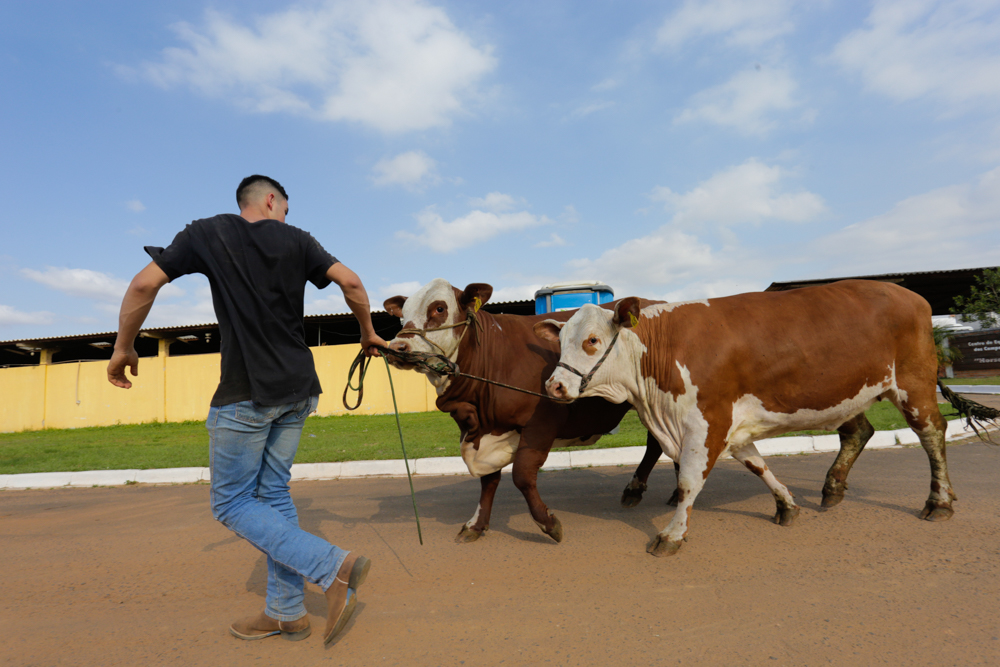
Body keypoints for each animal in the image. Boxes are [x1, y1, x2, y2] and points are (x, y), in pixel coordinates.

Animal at [386, 280, 668, 544]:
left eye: (439, 308)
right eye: (403, 314)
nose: (397, 347)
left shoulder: (541, 423)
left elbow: (521, 475)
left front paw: (548, 523)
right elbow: (489, 480)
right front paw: (476, 525)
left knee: (658, 443)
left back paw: (638, 490)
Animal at [536, 282, 956, 560]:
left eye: (591, 340)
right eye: (561, 343)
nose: (554, 385)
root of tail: (910, 294)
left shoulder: (708, 421)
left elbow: (689, 482)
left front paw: (672, 534)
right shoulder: (731, 427)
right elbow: (757, 464)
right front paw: (786, 505)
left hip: (914, 385)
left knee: (932, 433)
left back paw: (939, 501)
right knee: (861, 432)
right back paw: (832, 488)